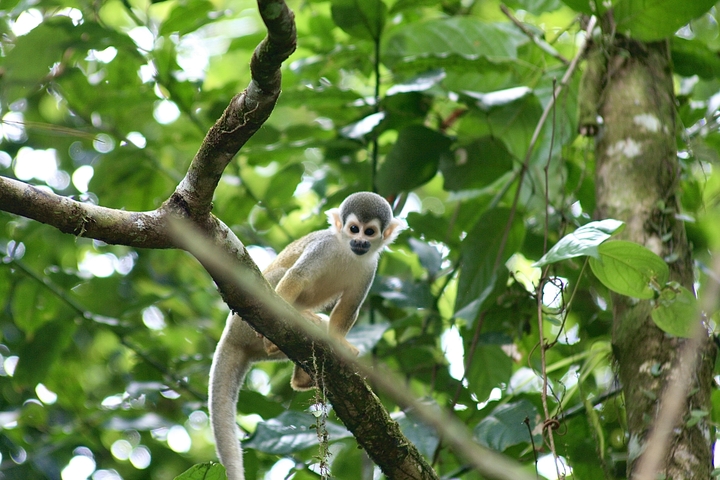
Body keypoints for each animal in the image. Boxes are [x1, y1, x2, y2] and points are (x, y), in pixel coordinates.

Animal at [209, 191, 405, 480]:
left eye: (369, 232)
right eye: (354, 229)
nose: (359, 242)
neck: (346, 251)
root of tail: (230, 335)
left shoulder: (371, 266)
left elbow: (349, 308)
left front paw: (338, 344)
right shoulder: (323, 247)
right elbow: (297, 276)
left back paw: (303, 376)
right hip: (243, 322)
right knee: (279, 277)